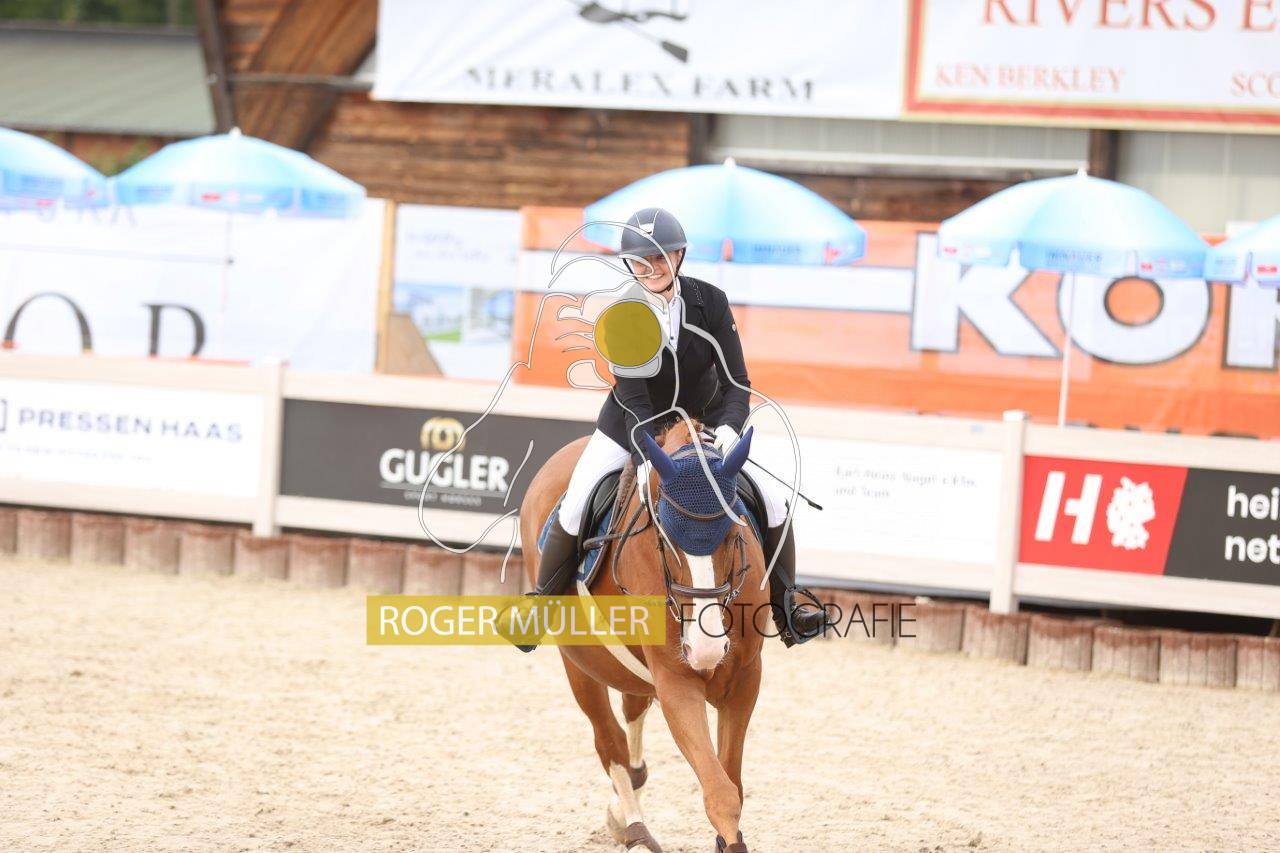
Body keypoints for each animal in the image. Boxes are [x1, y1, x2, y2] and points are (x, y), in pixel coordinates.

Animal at [519, 418, 769, 853]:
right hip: (580, 666)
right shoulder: (677, 681)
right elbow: (720, 793)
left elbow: (731, 782)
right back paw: (634, 827)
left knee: (632, 711)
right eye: (664, 539)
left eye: (732, 534)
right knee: (609, 742)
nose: (706, 649)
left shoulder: (744, 680)